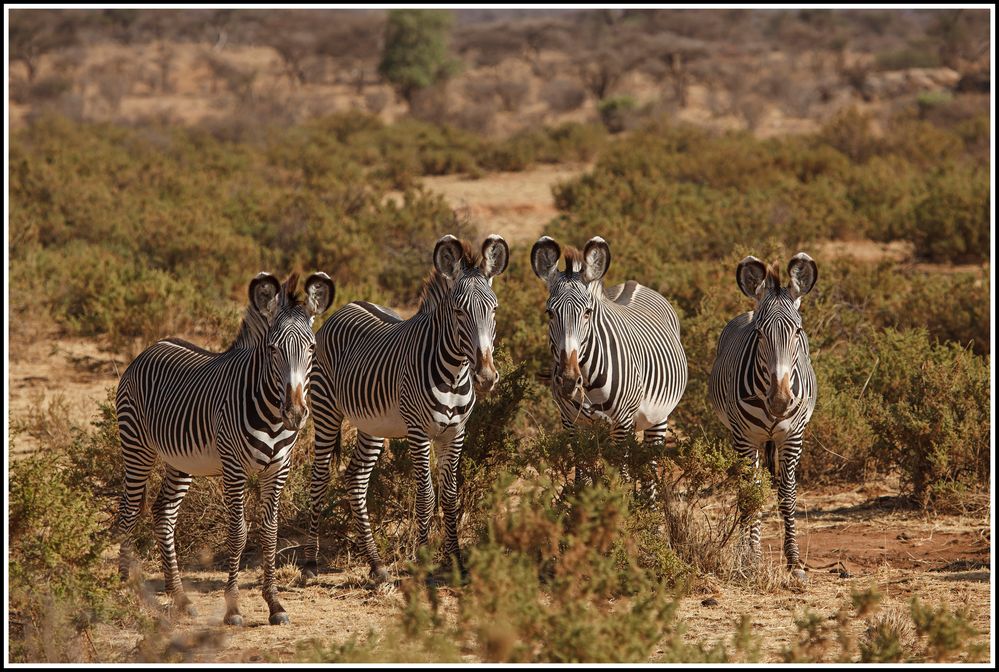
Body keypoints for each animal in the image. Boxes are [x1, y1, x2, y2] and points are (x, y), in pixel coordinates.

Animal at [112, 272, 334, 624]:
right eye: (272, 349)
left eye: (312, 347)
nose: (296, 413)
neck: (271, 415)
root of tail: (153, 345)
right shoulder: (234, 468)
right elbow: (238, 532)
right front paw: (233, 608)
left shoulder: (278, 469)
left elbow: (270, 533)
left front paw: (275, 604)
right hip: (136, 445)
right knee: (129, 511)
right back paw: (126, 588)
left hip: (181, 460)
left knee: (164, 513)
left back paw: (180, 597)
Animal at [302, 234, 508, 580]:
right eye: (458, 311)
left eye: (494, 310)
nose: (486, 377)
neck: (454, 373)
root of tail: (349, 304)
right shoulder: (418, 432)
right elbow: (425, 495)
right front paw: (422, 561)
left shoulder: (455, 433)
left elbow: (450, 496)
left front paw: (456, 562)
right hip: (326, 411)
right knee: (319, 477)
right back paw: (310, 562)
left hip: (372, 425)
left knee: (356, 479)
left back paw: (375, 564)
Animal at [532, 235, 688, 488]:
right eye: (550, 313)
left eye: (587, 313)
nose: (568, 381)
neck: (588, 382)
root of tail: (634, 283)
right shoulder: (570, 422)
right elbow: (581, 477)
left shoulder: (622, 424)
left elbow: (621, 479)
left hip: (659, 418)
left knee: (650, 472)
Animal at [708, 253, 816, 584]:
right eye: (758, 334)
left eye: (798, 332)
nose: (780, 401)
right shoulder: (746, 438)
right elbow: (750, 494)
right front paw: (751, 559)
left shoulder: (793, 436)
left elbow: (788, 494)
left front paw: (794, 562)